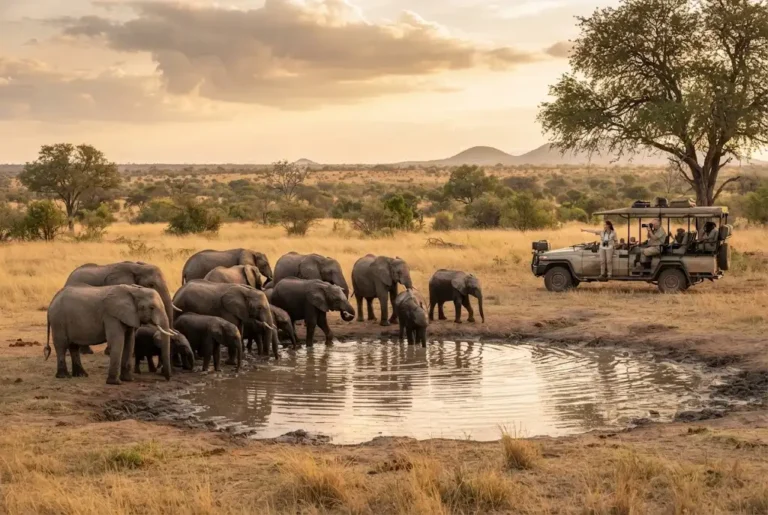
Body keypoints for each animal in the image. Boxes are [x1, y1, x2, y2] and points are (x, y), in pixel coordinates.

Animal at [45, 284, 174, 385]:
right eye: (152, 308)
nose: (167, 379)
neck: (134, 290)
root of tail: (52, 302)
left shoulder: (129, 316)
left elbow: (129, 343)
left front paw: (128, 380)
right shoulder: (111, 316)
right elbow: (118, 342)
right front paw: (115, 383)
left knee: (74, 346)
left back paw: (81, 375)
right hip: (58, 320)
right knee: (61, 345)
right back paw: (64, 376)